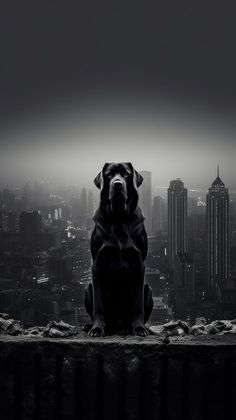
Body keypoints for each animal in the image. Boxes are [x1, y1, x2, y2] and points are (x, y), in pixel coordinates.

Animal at [85, 162, 153, 336]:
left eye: (126, 174)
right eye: (109, 174)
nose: (117, 184)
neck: (118, 217)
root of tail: (118, 324)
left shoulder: (139, 264)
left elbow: (137, 305)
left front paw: (139, 327)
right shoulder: (97, 264)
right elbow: (98, 305)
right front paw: (97, 328)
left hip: (148, 290)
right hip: (87, 289)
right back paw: (91, 326)